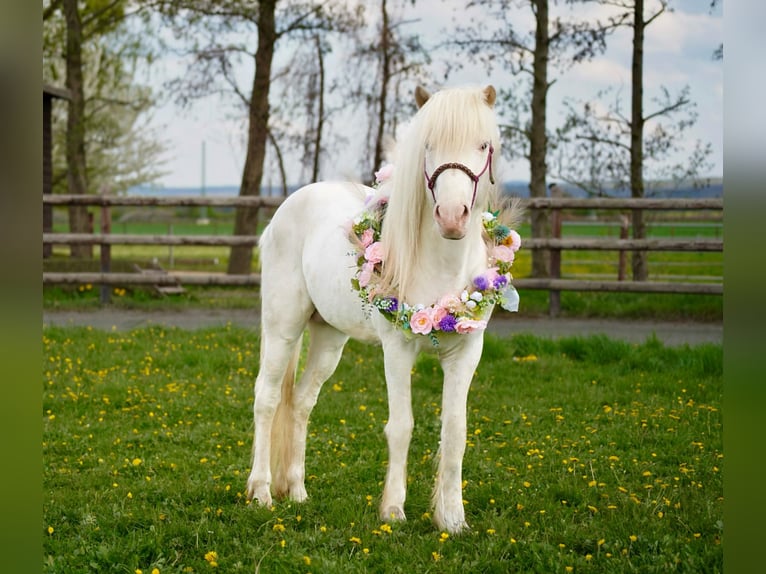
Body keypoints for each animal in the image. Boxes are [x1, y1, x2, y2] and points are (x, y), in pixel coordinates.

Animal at [245, 85, 522, 534]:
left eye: (484, 145)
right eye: (427, 145)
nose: (451, 217)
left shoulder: (467, 352)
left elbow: (456, 431)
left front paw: (452, 519)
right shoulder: (397, 350)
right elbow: (402, 426)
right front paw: (393, 510)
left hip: (328, 337)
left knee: (302, 401)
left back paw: (298, 492)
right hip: (283, 327)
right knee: (267, 399)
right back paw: (262, 493)